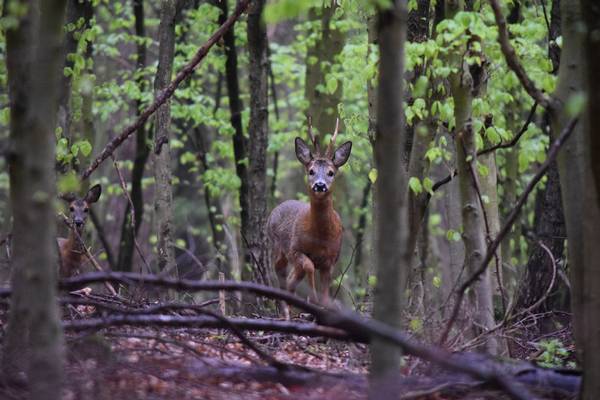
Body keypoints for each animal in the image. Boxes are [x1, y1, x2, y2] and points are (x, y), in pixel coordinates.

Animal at [268, 119, 352, 316]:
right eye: (311, 171)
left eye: (331, 172)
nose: (320, 185)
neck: (320, 237)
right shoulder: (295, 249)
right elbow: (309, 266)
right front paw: (313, 299)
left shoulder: (331, 259)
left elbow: (326, 292)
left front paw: (322, 304)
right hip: (277, 247)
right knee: (282, 276)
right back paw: (285, 310)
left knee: (291, 280)